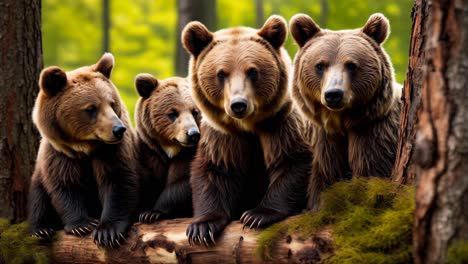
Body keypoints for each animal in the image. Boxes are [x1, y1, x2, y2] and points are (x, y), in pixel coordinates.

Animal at [28, 53, 138, 248]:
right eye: (91, 108)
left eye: (111, 103)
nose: (118, 129)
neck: (85, 147)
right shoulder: (60, 153)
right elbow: (64, 184)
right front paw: (81, 224)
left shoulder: (113, 151)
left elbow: (118, 180)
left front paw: (107, 231)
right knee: (38, 196)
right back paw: (41, 229)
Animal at [134, 73, 202, 223]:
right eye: (173, 113)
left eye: (195, 112)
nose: (193, 134)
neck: (170, 149)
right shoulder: (149, 151)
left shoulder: (189, 155)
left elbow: (182, 183)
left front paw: (152, 213)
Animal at [182, 14, 310, 245]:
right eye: (221, 74)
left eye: (252, 71)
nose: (238, 104)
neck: (248, 126)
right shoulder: (223, 134)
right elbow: (215, 170)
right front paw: (202, 227)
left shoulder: (280, 124)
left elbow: (292, 161)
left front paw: (257, 215)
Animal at [288, 12, 402, 210]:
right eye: (320, 65)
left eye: (351, 65)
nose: (333, 94)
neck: (341, 121)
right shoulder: (324, 140)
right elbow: (325, 176)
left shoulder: (374, 132)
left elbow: (370, 170)